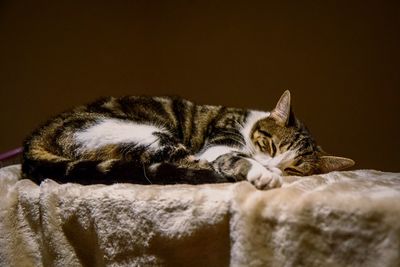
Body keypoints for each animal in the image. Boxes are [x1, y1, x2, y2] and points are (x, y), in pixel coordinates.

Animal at [21, 91, 354, 189]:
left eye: (295, 168)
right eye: (269, 145)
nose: (272, 163)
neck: (247, 124)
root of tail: (33, 140)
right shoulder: (217, 145)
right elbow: (234, 156)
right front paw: (264, 172)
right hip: (147, 133)